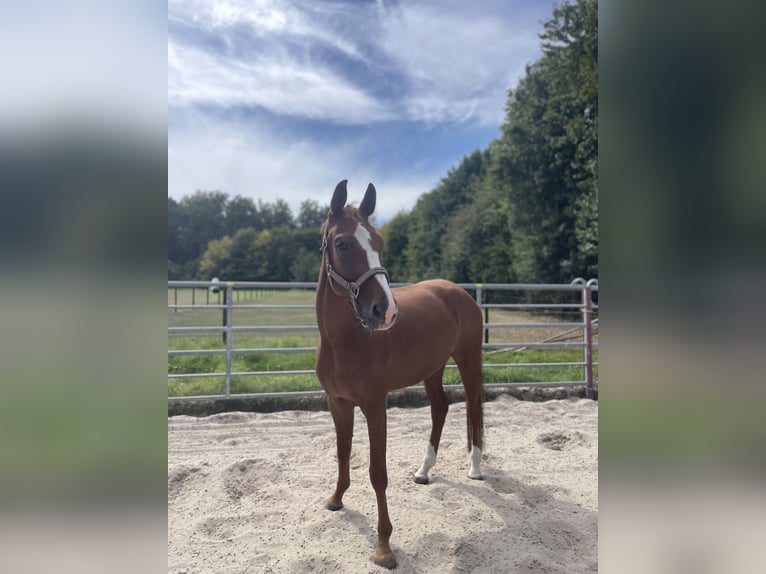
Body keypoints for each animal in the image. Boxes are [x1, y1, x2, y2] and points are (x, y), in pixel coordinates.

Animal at [315, 179, 485, 569]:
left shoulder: (375, 406)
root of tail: (459, 292)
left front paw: (384, 548)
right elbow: (343, 453)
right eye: (342, 244)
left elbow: (378, 473)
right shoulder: (338, 403)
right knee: (441, 408)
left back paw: (475, 467)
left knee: (473, 406)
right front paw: (336, 500)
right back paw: (424, 472)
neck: (344, 341)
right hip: (433, 369)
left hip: (469, 361)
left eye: (378, 243)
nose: (386, 311)